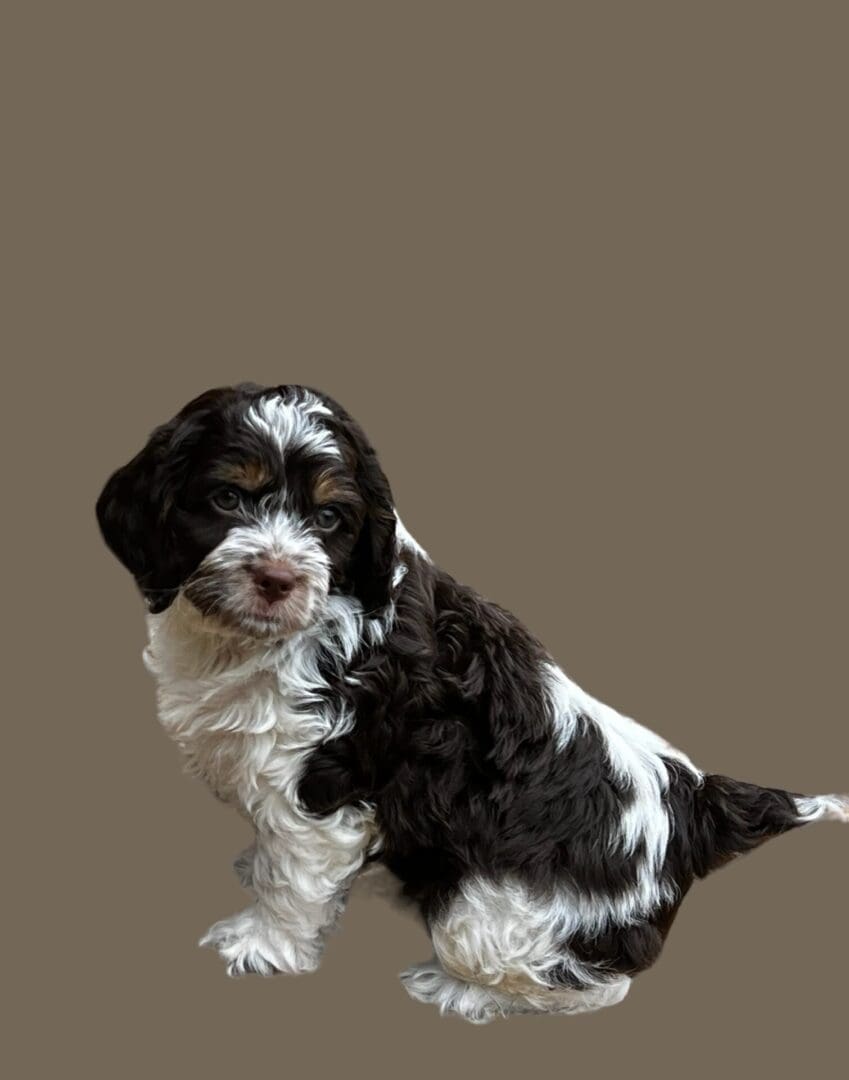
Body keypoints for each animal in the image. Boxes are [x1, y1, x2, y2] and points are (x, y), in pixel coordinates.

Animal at [97, 384, 838, 1023]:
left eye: (330, 518)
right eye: (226, 498)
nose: (277, 578)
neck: (252, 640)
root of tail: (689, 801)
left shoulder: (323, 779)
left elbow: (295, 870)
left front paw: (262, 944)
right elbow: (273, 847)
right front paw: (256, 867)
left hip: (483, 910)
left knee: (596, 984)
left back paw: (459, 991)